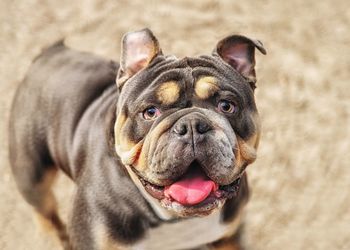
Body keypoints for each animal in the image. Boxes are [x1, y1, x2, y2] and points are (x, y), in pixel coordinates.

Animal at [8, 28, 266, 249]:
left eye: (227, 106)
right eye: (150, 112)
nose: (192, 125)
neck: (173, 218)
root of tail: (50, 54)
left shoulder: (229, 237)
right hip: (32, 176)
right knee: (44, 210)